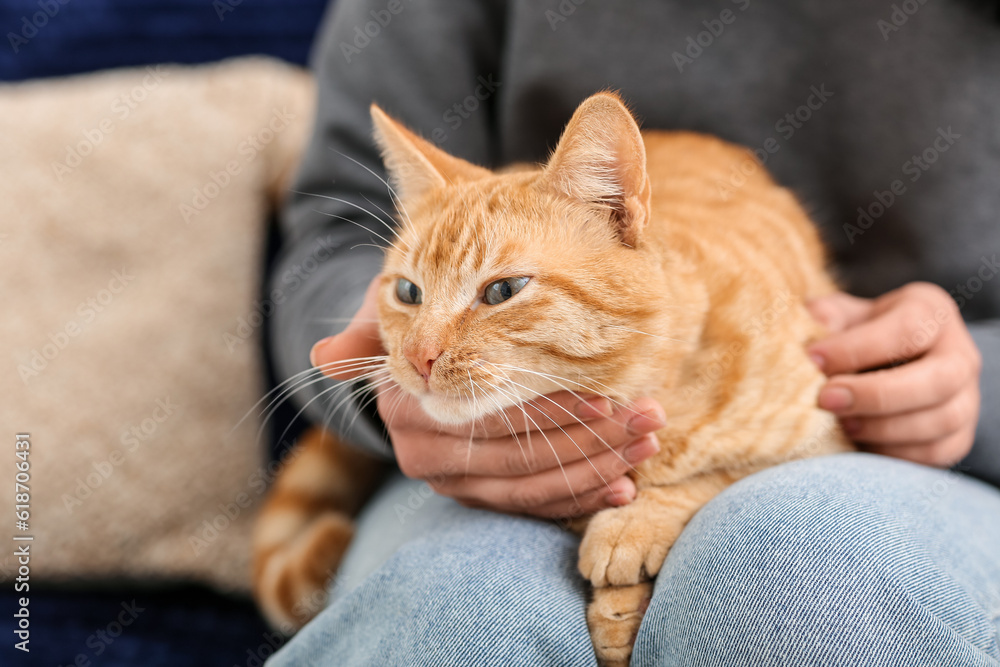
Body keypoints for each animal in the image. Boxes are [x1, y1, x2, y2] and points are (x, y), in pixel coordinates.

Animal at [256, 91, 852, 664]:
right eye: (408, 292)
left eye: (502, 290)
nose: (418, 356)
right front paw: (617, 606)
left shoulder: (829, 426)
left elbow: (719, 473)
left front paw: (630, 535)